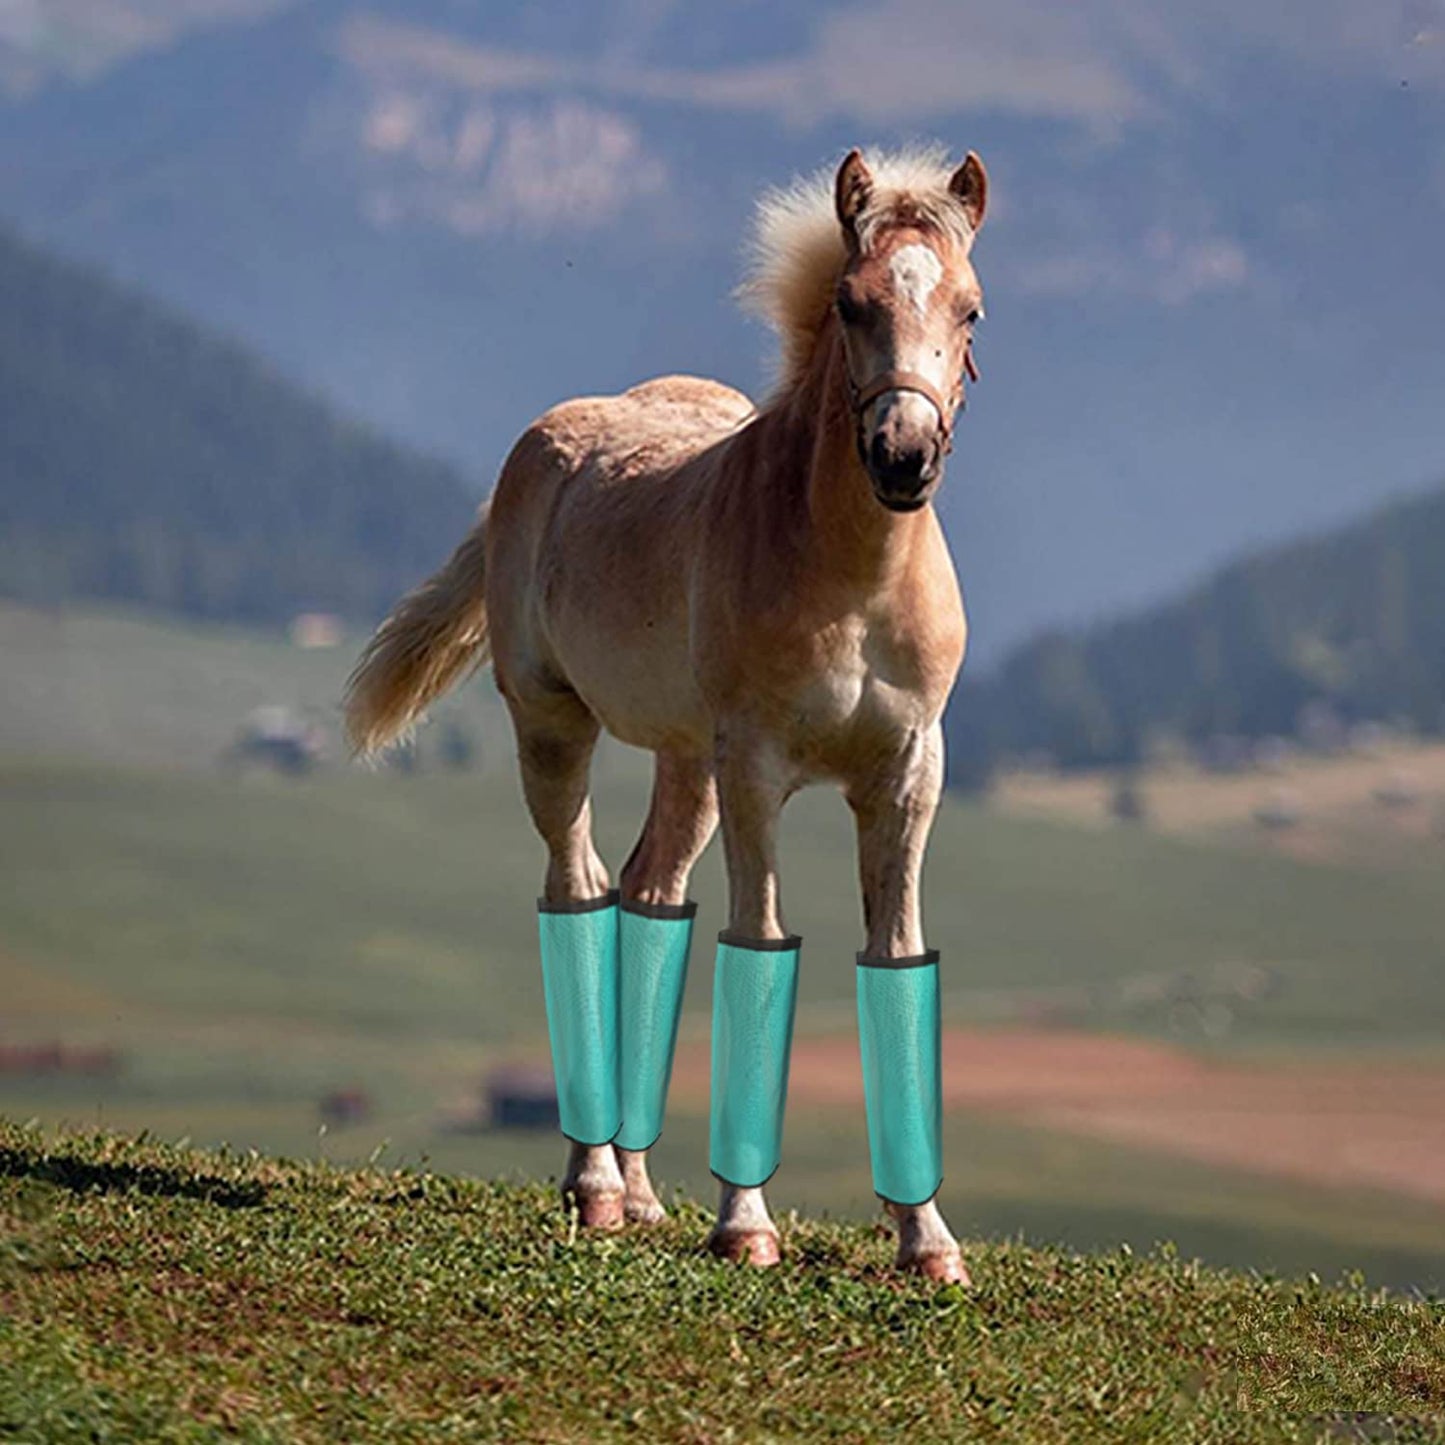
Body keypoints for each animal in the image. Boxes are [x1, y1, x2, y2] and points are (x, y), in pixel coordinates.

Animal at [345, 145, 988, 1282]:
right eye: (850, 301)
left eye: (970, 310)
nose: (902, 457)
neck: (851, 578)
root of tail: (540, 445)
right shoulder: (758, 767)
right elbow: (756, 941)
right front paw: (745, 1226)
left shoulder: (908, 770)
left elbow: (893, 954)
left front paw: (928, 1242)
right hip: (556, 725)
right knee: (578, 887)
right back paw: (597, 1187)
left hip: (686, 762)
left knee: (648, 900)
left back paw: (639, 1192)